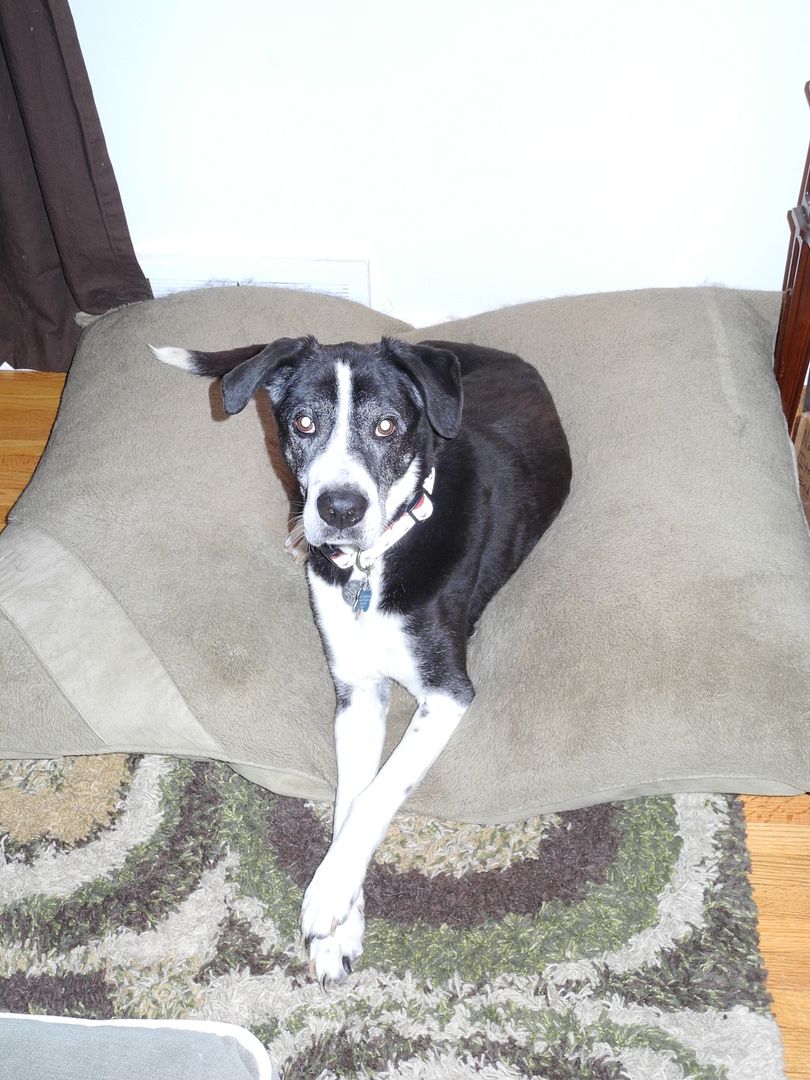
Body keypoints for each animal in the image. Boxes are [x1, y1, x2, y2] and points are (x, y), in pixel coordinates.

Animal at [152, 336, 570, 989]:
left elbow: (378, 793)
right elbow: (351, 798)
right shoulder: (356, 692)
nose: (339, 510)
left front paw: (327, 898)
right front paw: (340, 924)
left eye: (387, 426)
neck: (370, 564)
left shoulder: (448, 689)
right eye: (303, 423)